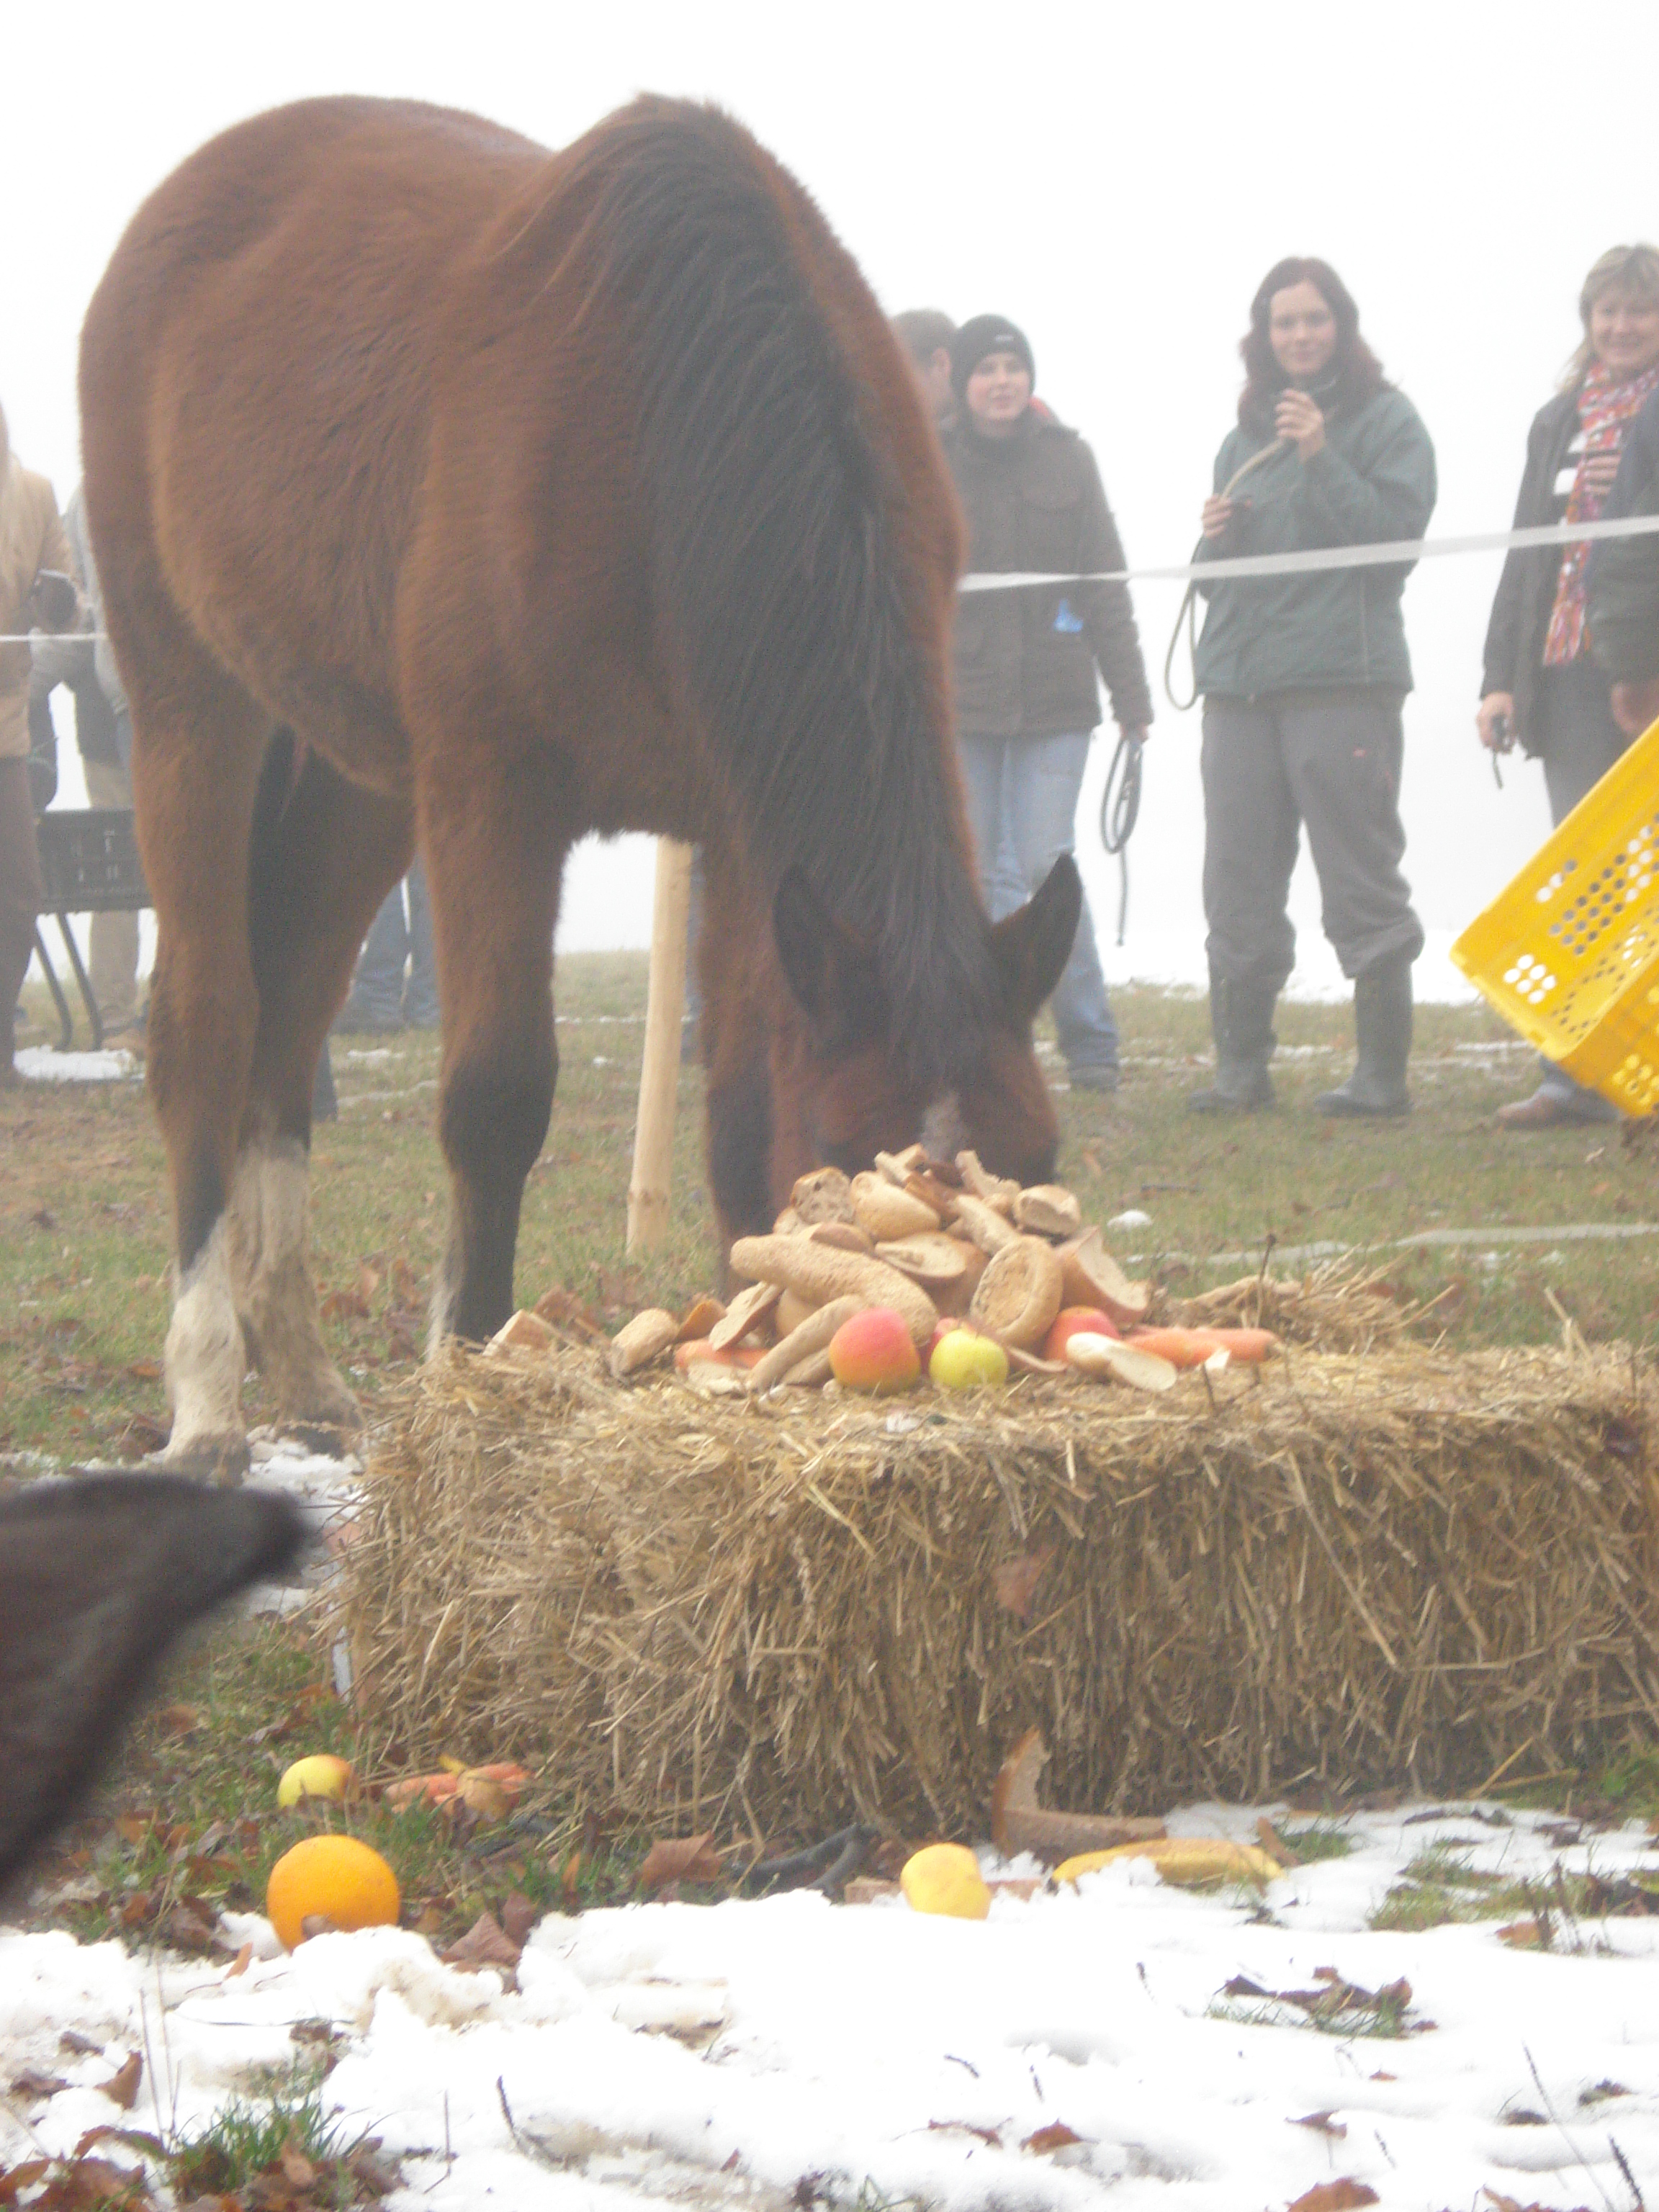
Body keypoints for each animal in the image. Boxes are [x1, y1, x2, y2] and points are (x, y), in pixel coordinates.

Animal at [81, 104, 1079, 1486]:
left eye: (1035, 1160)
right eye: (848, 1154)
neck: (665, 404)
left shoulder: (738, 840)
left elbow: (735, 1106)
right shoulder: (490, 799)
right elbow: (497, 1098)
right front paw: (478, 1358)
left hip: (357, 783)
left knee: (287, 1030)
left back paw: (306, 1375)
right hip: (191, 702)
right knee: (212, 1027)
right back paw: (208, 1397)